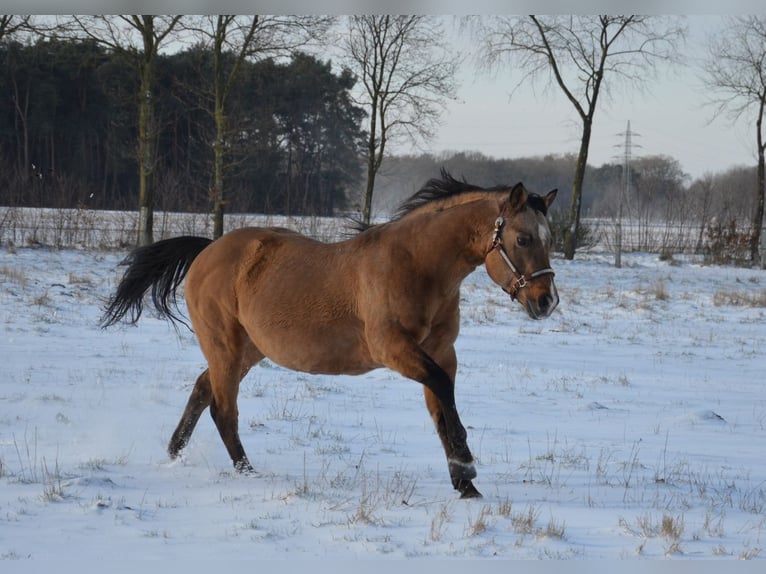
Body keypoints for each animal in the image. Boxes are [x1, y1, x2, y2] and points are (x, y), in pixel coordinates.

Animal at [101, 170, 558, 499]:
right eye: (523, 238)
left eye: (548, 239)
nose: (546, 301)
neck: (417, 265)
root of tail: (208, 250)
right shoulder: (394, 349)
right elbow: (443, 392)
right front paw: (466, 464)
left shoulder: (442, 352)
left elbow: (440, 407)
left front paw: (464, 483)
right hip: (226, 347)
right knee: (222, 409)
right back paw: (247, 473)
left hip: (248, 350)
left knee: (201, 390)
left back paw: (174, 454)